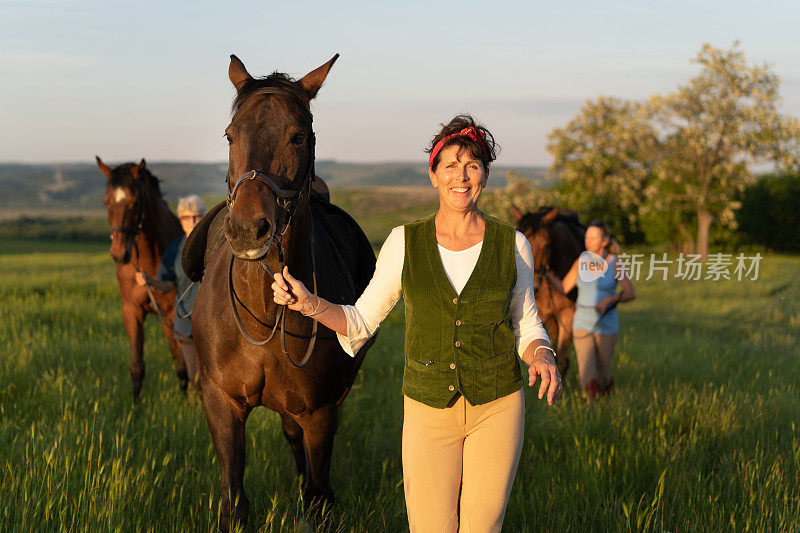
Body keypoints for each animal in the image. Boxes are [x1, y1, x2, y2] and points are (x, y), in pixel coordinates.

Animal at [96, 158, 187, 400]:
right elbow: (137, 366)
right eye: (106, 201)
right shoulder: (131, 310)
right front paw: (135, 407)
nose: (119, 254)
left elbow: (182, 364)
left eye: (136, 202)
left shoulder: (171, 315)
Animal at [191, 54, 376, 528]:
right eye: (230, 135)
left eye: (297, 136)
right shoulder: (221, 404)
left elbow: (314, 497)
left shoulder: (319, 412)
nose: (247, 229)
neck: (264, 314)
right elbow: (234, 501)